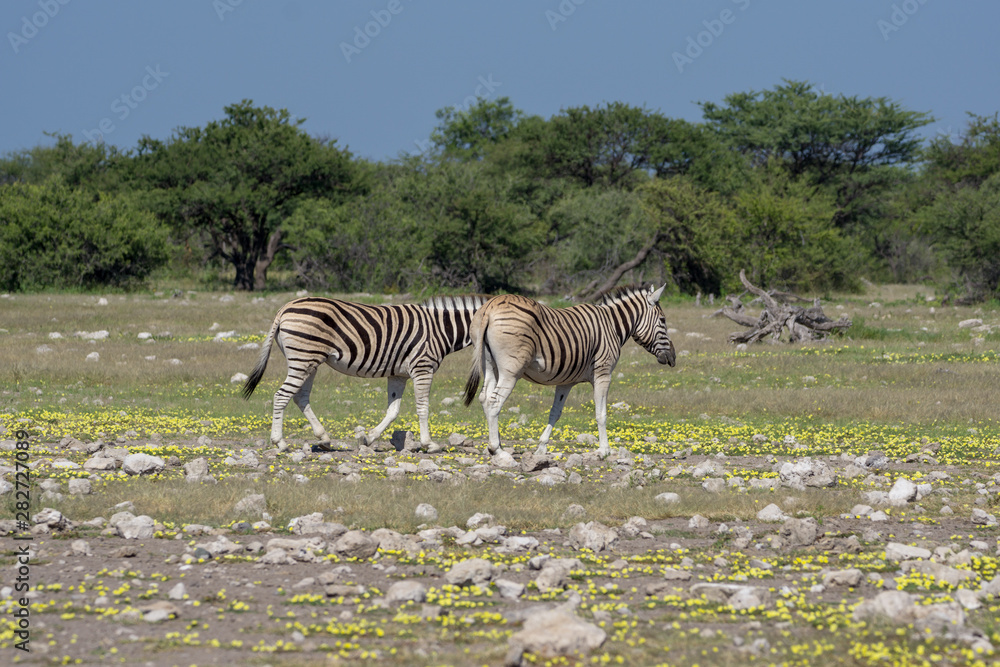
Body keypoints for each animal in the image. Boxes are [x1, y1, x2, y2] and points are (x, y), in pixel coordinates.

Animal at [243, 294, 488, 451]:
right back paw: (280, 442)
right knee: (281, 396)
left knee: (300, 397)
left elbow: (393, 411)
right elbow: (423, 408)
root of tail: (285, 307)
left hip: (309, 360)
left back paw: (324, 439)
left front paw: (368, 439)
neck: (441, 328)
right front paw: (430, 444)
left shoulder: (398, 374)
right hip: (303, 358)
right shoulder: (422, 367)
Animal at [462, 284, 676, 458]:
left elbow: (555, 413)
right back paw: (496, 449)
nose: (673, 358)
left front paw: (541, 448)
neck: (612, 327)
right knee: (494, 402)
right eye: (663, 320)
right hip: (511, 371)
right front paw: (604, 450)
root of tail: (490, 307)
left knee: (485, 398)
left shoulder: (565, 381)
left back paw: (498, 445)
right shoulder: (603, 374)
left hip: (490, 367)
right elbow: (601, 414)